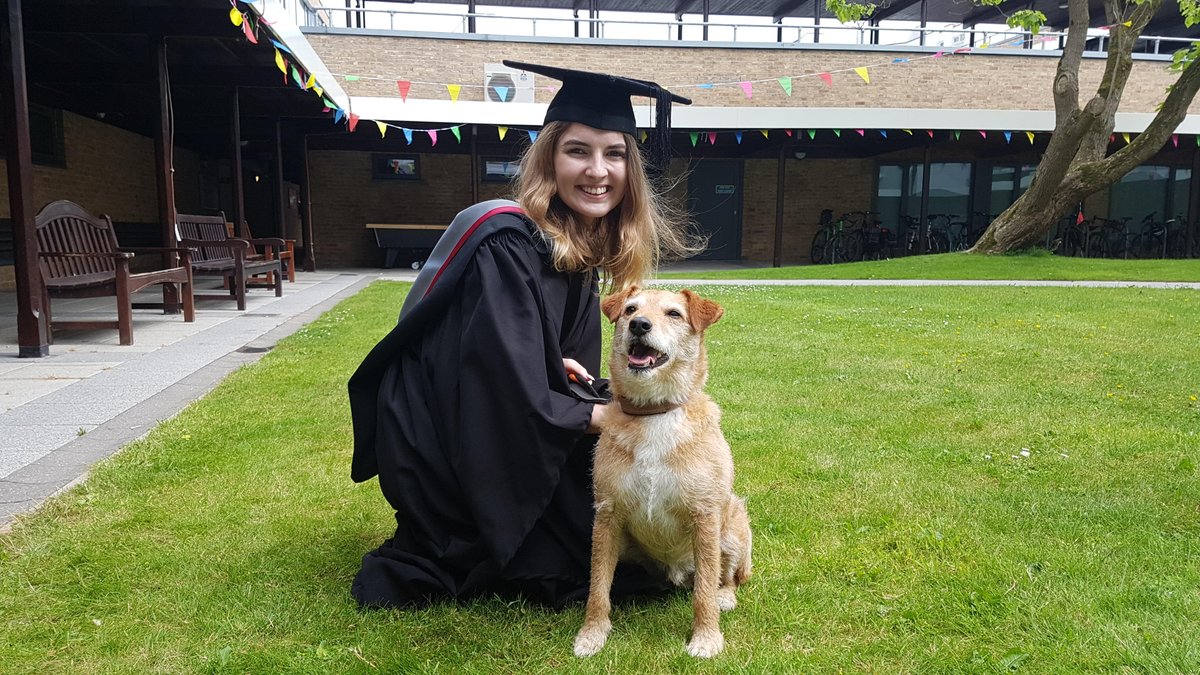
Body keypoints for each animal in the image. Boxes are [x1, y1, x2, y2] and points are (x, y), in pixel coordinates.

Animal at [571, 284, 748, 658]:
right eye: (630, 309)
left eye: (674, 314)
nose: (639, 324)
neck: (655, 412)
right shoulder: (607, 516)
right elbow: (598, 586)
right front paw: (592, 634)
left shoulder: (704, 517)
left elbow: (704, 590)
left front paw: (706, 638)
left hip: (733, 529)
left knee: (729, 577)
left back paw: (726, 595)